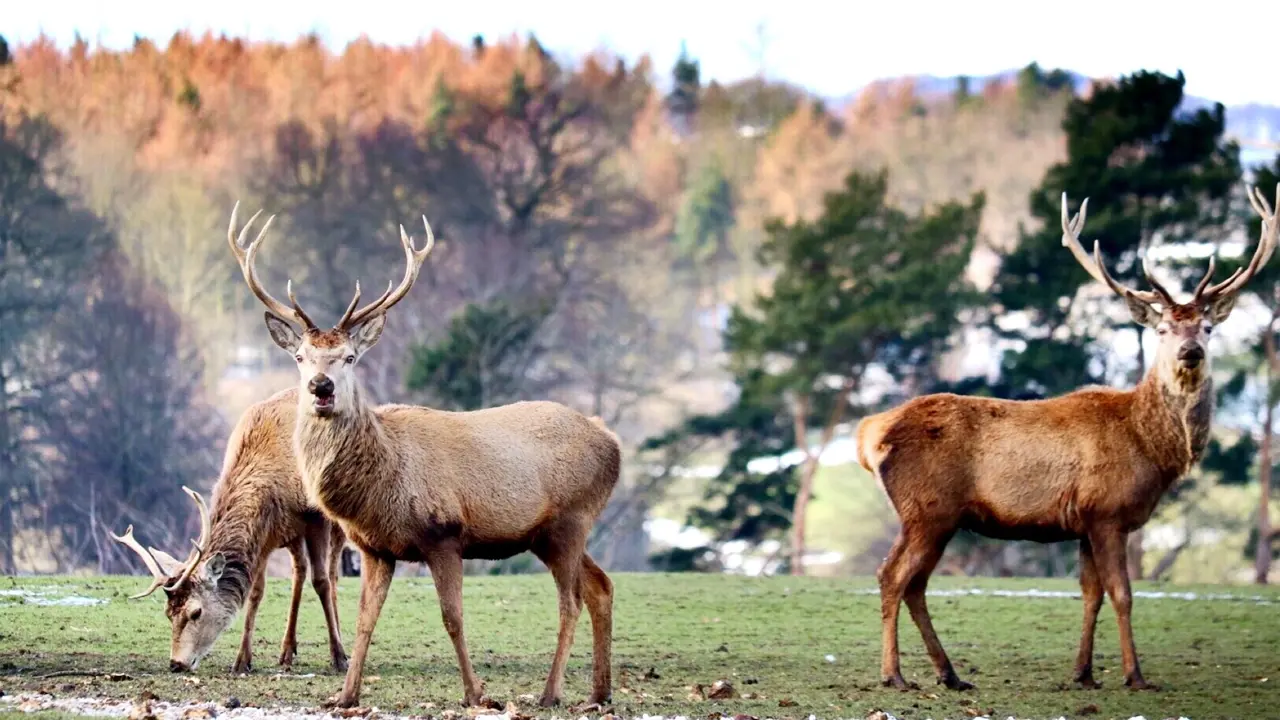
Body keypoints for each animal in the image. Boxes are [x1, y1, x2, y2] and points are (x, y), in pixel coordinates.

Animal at [111, 387, 349, 674]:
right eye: (168, 614)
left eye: (196, 612)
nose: (176, 663)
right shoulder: (265, 536)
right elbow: (255, 593)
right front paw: (242, 660)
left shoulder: (314, 517)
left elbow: (322, 582)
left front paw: (338, 657)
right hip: (292, 534)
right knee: (299, 572)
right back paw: (287, 651)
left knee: (333, 574)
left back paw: (341, 644)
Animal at [226, 204, 622, 709]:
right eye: (300, 356)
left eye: (350, 357)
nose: (321, 387)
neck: (384, 480)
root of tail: (611, 441)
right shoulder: (375, 548)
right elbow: (365, 621)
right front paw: (345, 694)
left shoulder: (444, 535)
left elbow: (453, 619)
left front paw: (476, 694)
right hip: (550, 533)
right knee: (601, 586)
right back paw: (599, 691)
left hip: (572, 518)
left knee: (570, 601)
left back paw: (550, 693)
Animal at [855, 184, 1280, 693]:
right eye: (1162, 328)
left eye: (1208, 327)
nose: (1190, 351)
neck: (1150, 448)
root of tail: (872, 434)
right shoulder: (1108, 512)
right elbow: (1122, 594)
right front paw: (1135, 676)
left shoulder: (1085, 522)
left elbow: (1090, 594)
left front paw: (1084, 673)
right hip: (927, 508)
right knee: (892, 575)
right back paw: (894, 674)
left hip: (938, 517)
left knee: (914, 584)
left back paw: (951, 674)